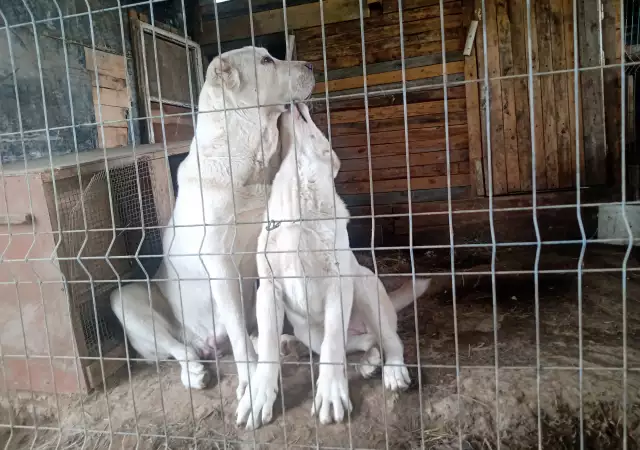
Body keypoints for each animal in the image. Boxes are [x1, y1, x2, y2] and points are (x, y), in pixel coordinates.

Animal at [112, 47, 318, 396]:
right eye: (266, 61)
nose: (310, 65)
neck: (248, 157)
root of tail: (206, 343)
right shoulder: (219, 264)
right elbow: (236, 330)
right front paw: (251, 378)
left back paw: (285, 343)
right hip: (127, 300)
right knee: (178, 347)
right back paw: (194, 370)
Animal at [235, 103, 430, 430]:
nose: (296, 102)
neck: (297, 208)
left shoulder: (338, 284)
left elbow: (333, 344)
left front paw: (329, 394)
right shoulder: (269, 290)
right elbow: (269, 350)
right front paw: (258, 396)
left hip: (364, 286)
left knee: (391, 340)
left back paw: (391, 370)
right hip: (310, 333)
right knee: (364, 341)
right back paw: (367, 362)